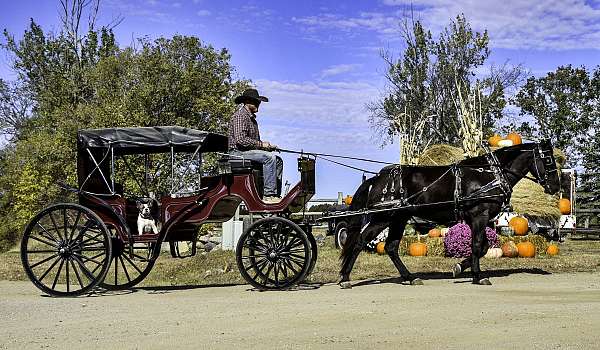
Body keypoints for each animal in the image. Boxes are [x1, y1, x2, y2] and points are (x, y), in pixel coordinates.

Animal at [340, 140, 560, 288]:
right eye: (548, 160)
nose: (555, 187)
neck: (489, 173)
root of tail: (377, 178)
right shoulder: (479, 215)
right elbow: (477, 245)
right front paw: (478, 276)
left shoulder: (476, 218)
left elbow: (483, 246)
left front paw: (461, 268)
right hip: (382, 217)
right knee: (360, 241)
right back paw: (345, 278)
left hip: (398, 219)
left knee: (391, 247)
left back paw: (410, 277)